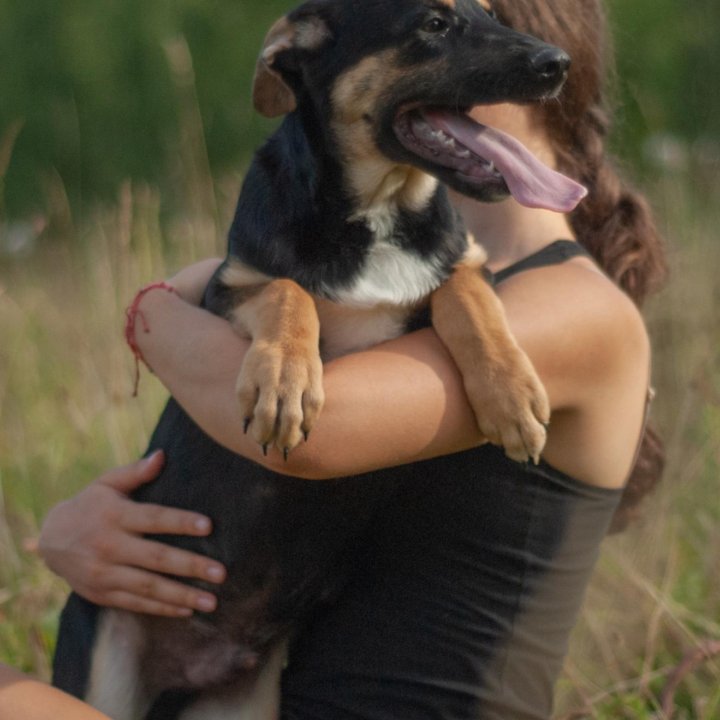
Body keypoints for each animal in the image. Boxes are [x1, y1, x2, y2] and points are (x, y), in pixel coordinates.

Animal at [54, 2, 584, 716]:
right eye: (434, 25)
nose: (555, 65)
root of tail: (192, 674)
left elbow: (465, 292)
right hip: (105, 670)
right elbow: (291, 291)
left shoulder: (462, 265)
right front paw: (283, 385)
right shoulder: (229, 289)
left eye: (489, 14)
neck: (381, 213)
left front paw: (511, 396)